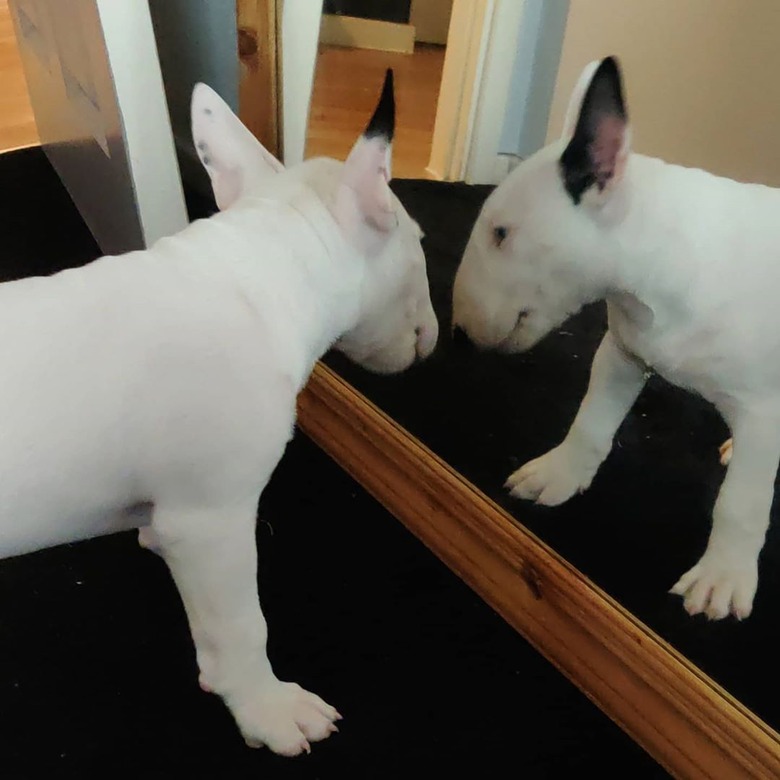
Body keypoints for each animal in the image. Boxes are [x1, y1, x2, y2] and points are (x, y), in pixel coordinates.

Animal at [0, 70, 438, 752]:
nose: (436, 334)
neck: (260, 271)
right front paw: (266, 708)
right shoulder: (212, 521)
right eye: (421, 246)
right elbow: (240, 625)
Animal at [450, 56, 780, 620]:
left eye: (500, 234)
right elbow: (591, 423)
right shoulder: (621, 354)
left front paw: (722, 578)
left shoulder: (763, 410)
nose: (458, 335)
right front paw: (557, 476)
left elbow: (741, 502)